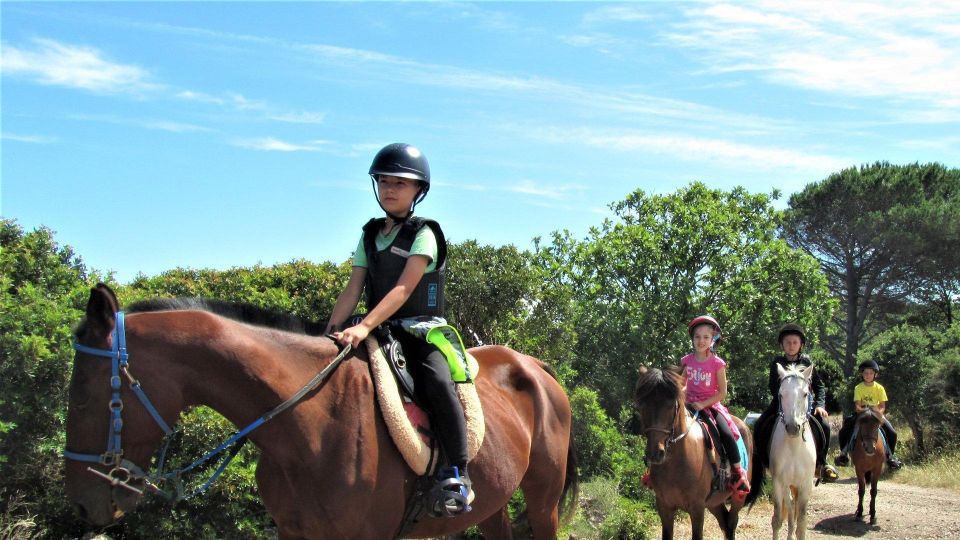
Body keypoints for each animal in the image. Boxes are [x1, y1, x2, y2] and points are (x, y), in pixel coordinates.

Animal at [69, 284, 576, 536]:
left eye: (84, 394)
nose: (83, 505)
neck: (310, 426)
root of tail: (533, 366)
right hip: (493, 500)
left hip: (543, 499)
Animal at [632, 364, 752, 536]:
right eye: (642, 405)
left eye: (672, 405)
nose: (655, 453)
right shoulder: (664, 507)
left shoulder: (697, 509)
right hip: (713, 502)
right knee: (724, 521)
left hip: (738, 496)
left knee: (731, 523)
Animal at [764, 362, 816, 540]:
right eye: (781, 394)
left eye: (805, 394)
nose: (793, 427)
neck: (794, 448)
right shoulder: (780, 483)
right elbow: (780, 518)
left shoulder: (806, 485)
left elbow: (801, 523)